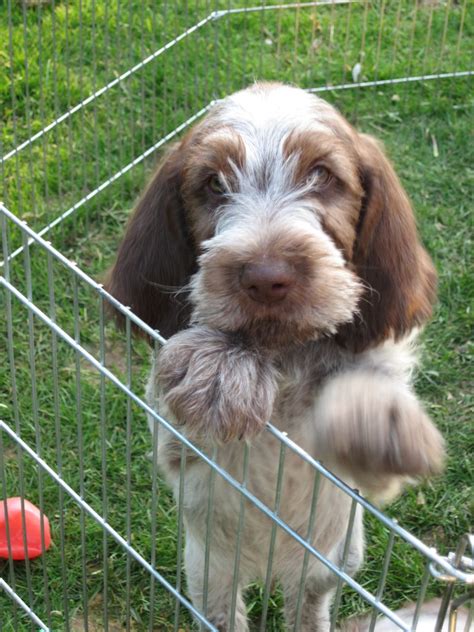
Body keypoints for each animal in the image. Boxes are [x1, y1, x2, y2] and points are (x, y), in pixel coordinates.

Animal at [106, 84, 444, 632]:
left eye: (322, 175)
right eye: (214, 183)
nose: (266, 277)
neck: (286, 355)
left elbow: (369, 377)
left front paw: (378, 421)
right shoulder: (176, 449)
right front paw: (220, 368)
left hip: (333, 562)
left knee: (308, 604)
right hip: (208, 572)